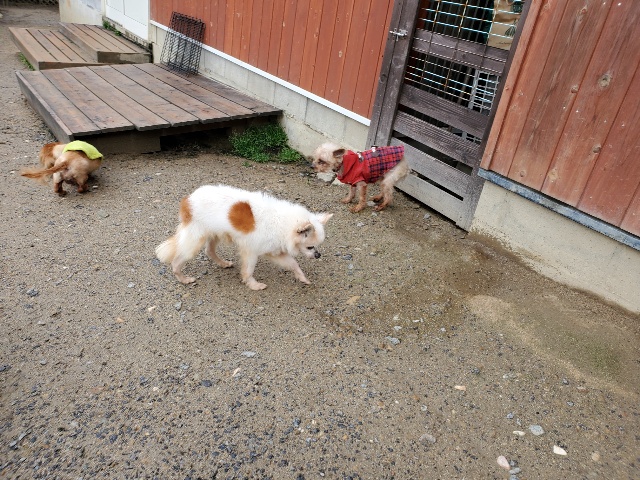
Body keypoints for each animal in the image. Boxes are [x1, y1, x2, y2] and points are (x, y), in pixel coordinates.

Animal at [156, 185, 333, 290]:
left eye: (317, 247)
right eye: (310, 246)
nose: (318, 255)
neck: (282, 222)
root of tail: (188, 199)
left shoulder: (274, 252)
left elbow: (293, 264)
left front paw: (302, 277)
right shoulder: (251, 252)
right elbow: (248, 271)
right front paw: (253, 285)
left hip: (214, 234)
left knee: (209, 251)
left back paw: (223, 263)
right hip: (195, 240)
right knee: (177, 260)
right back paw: (183, 278)